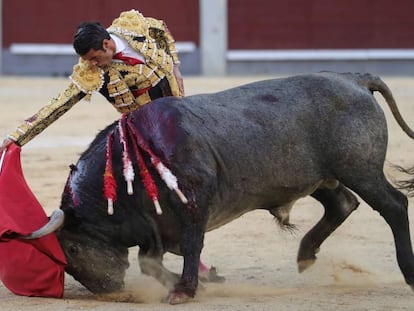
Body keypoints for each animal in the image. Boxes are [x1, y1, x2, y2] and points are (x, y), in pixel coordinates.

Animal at [24, 72, 414, 304]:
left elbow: (190, 246)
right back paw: (305, 255)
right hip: (317, 176)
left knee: (393, 205)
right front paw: (198, 282)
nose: (109, 289)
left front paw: (185, 290)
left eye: (72, 249)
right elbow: (149, 262)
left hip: (360, 170)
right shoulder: (155, 225)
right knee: (342, 204)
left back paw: (408, 273)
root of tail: (354, 78)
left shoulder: (194, 203)